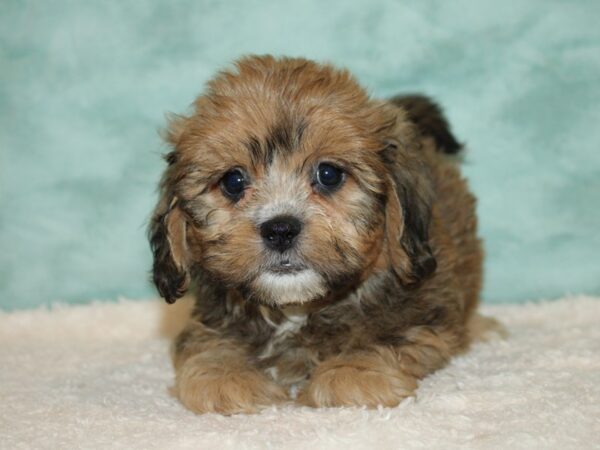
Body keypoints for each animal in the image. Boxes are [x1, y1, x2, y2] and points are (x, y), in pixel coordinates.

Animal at [149, 56, 488, 414]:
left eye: (329, 174)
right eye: (233, 181)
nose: (280, 229)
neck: (296, 309)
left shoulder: (423, 319)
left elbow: (387, 340)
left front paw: (352, 370)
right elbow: (206, 347)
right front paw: (225, 374)